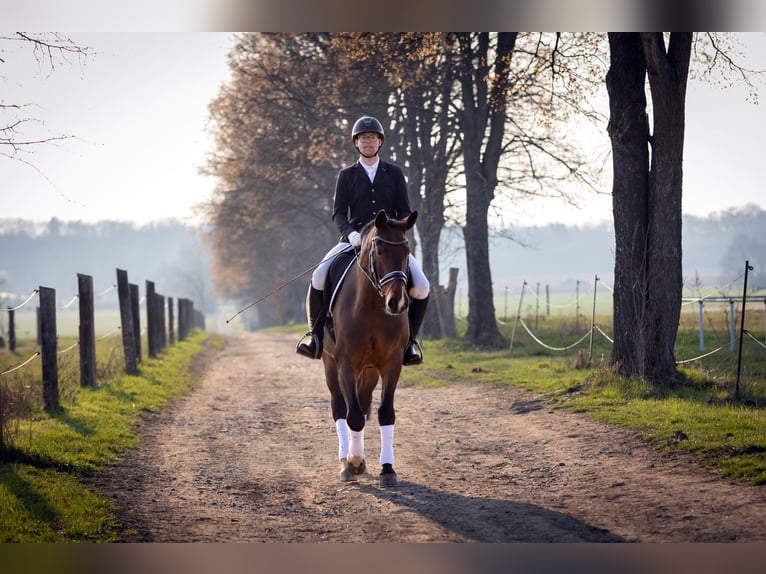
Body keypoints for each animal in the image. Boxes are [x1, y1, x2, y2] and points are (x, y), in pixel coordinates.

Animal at [321, 209, 417, 488]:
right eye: (380, 251)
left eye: (406, 251)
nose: (398, 303)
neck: (374, 306)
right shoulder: (346, 363)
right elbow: (351, 415)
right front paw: (353, 463)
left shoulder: (391, 364)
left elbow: (385, 413)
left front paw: (387, 469)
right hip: (330, 363)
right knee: (340, 408)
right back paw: (346, 461)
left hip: (371, 370)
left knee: (363, 406)